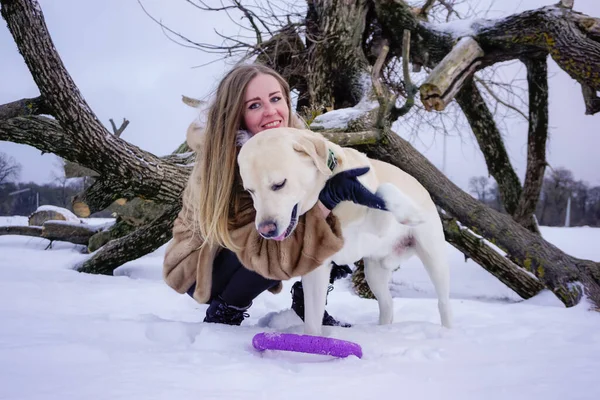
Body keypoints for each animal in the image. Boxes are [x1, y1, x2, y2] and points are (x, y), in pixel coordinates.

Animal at [237, 127, 452, 334]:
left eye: (279, 184)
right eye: (250, 191)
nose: (266, 231)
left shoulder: (380, 223)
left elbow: (382, 189)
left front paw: (409, 212)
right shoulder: (316, 267)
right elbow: (312, 320)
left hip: (434, 258)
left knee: (443, 303)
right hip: (374, 273)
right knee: (387, 304)